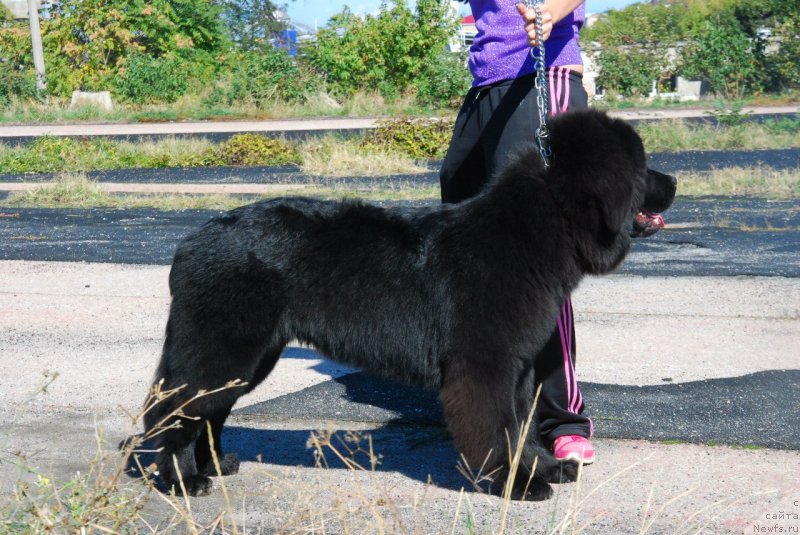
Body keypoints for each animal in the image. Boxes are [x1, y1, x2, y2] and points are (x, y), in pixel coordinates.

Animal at [142, 109, 676, 502]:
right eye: (642, 167)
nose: (672, 181)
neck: (535, 231)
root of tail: (190, 242)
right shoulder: (485, 366)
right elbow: (497, 428)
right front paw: (513, 484)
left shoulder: (520, 369)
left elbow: (522, 427)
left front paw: (542, 469)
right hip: (222, 349)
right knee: (174, 412)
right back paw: (183, 480)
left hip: (249, 357)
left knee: (209, 412)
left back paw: (217, 466)